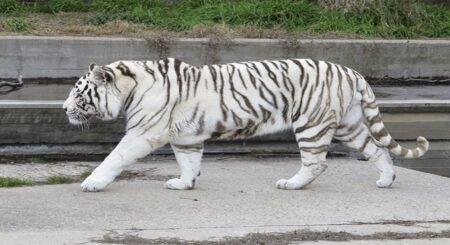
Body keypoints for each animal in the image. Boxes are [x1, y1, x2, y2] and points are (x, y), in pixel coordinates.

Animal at [63, 58, 428, 191]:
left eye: (78, 92)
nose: (63, 108)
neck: (131, 86)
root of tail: (352, 71)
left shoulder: (143, 133)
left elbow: (116, 157)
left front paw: (93, 182)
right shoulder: (186, 136)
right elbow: (188, 162)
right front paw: (184, 184)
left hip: (312, 124)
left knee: (316, 163)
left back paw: (291, 184)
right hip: (349, 125)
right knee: (378, 150)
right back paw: (386, 180)